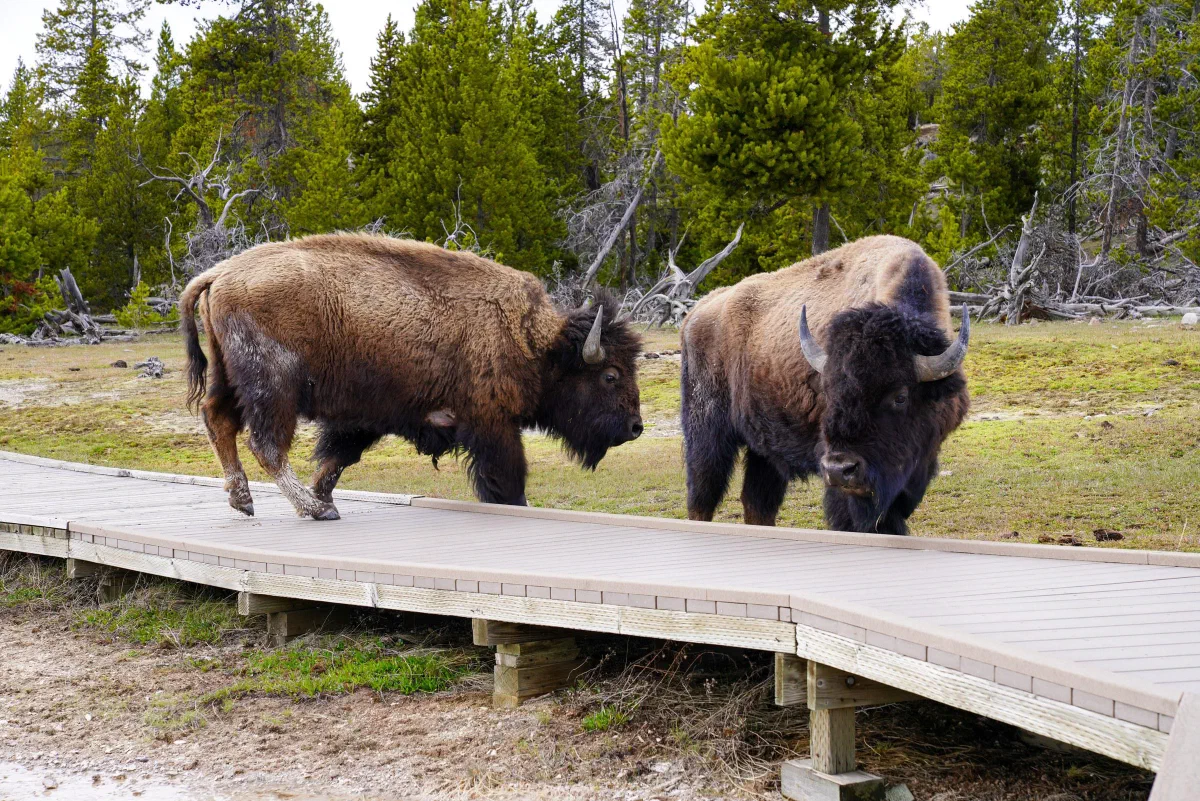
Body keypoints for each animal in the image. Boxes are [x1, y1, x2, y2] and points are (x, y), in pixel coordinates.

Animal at [180, 233, 643, 520]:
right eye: (610, 375)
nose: (636, 427)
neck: (533, 340)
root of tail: (219, 273)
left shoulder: (364, 417)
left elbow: (336, 459)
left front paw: (323, 493)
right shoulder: (492, 423)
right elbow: (509, 479)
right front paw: (322, 501)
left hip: (228, 378)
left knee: (218, 421)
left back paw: (248, 501)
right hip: (274, 387)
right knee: (266, 443)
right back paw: (312, 510)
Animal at [680, 235, 970, 535]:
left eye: (900, 396)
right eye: (828, 392)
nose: (840, 469)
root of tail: (696, 313)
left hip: (764, 450)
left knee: (757, 503)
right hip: (706, 433)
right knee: (702, 495)